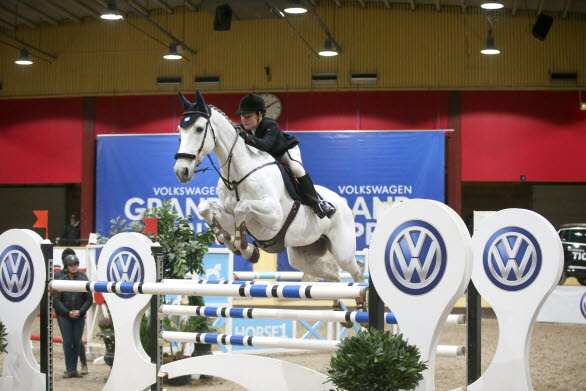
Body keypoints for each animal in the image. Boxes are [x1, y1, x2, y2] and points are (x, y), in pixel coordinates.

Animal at [171, 91, 362, 284]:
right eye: (180, 130)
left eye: (199, 129)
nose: (181, 171)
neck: (237, 175)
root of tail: (343, 204)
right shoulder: (231, 215)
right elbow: (206, 207)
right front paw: (229, 240)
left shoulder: (273, 216)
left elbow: (242, 207)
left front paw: (246, 249)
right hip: (303, 255)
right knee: (333, 275)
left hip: (343, 251)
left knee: (356, 271)